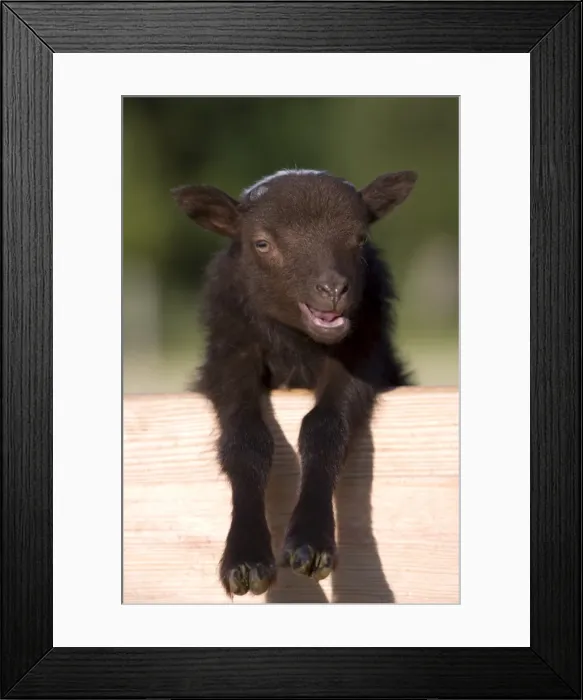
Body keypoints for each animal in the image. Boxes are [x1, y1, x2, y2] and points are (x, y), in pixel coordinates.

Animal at [171, 168, 417, 597]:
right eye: (262, 243)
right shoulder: (230, 358)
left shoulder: (361, 356)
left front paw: (311, 546)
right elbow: (246, 441)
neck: (297, 345)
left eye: (361, 238)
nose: (333, 290)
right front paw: (246, 560)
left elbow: (323, 427)